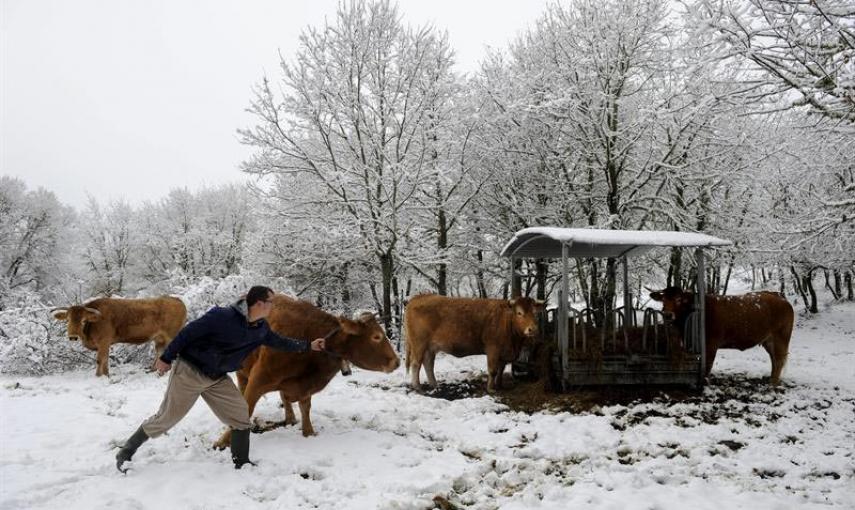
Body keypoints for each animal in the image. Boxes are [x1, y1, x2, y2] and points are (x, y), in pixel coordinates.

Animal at [51, 296, 187, 376]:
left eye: (83, 321)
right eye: (67, 319)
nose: (73, 336)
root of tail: (176, 299)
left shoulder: (104, 342)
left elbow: (101, 360)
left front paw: (100, 376)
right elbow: (104, 360)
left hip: (171, 337)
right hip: (159, 339)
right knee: (160, 352)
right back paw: (153, 370)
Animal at [214, 294, 402, 446]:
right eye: (376, 336)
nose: (397, 361)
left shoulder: (306, 386)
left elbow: (305, 407)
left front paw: (309, 432)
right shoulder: (258, 378)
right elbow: (246, 408)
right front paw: (223, 442)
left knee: (284, 398)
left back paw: (290, 418)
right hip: (242, 372)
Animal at [406, 292, 540, 392]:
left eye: (535, 313)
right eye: (519, 313)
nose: (533, 329)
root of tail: (419, 297)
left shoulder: (503, 352)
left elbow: (501, 370)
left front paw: (499, 385)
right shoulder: (493, 349)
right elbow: (493, 370)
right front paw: (491, 389)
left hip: (430, 347)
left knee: (428, 364)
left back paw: (434, 385)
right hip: (419, 344)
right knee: (416, 364)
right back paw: (417, 387)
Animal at [652, 286, 800, 382]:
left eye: (679, 299)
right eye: (663, 299)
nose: (667, 314)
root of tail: (778, 295)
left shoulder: (710, 346)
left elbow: (707, 367)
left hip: (781, 337)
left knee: (779, 360)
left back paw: (773, 383)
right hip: (768, 341)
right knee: (774, 359)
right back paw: (771, 378)